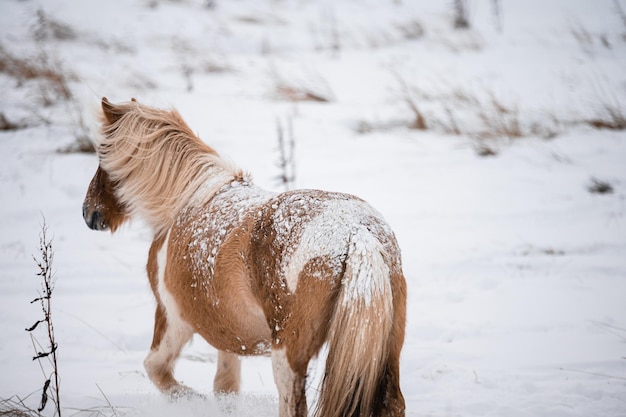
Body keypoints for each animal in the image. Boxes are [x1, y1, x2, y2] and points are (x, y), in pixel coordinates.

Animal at [81, 98, 404, 416]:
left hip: (287, 356)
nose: (89, 214)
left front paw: (191, 400)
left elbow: (156, 369)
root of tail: (356, 232)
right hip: (387, 348)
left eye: (102, 155)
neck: (185, 200)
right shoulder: (227, 334)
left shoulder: (173, 318)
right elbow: (225, 388)